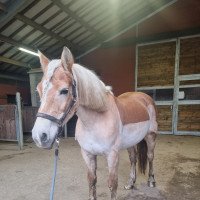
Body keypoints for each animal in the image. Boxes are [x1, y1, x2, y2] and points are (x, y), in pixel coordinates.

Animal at [32, 46, 158, 199]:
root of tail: (144, 97)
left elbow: (112, 184)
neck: (95, 122)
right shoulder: (88, 154)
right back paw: (130, 183)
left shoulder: (112, 155)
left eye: (64, 90)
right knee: (133, 159)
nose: (39, 136)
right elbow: (92, 181)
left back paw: (151, 181)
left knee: (150, 156)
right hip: (131, 142)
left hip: (151, 136)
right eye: (38, 90)